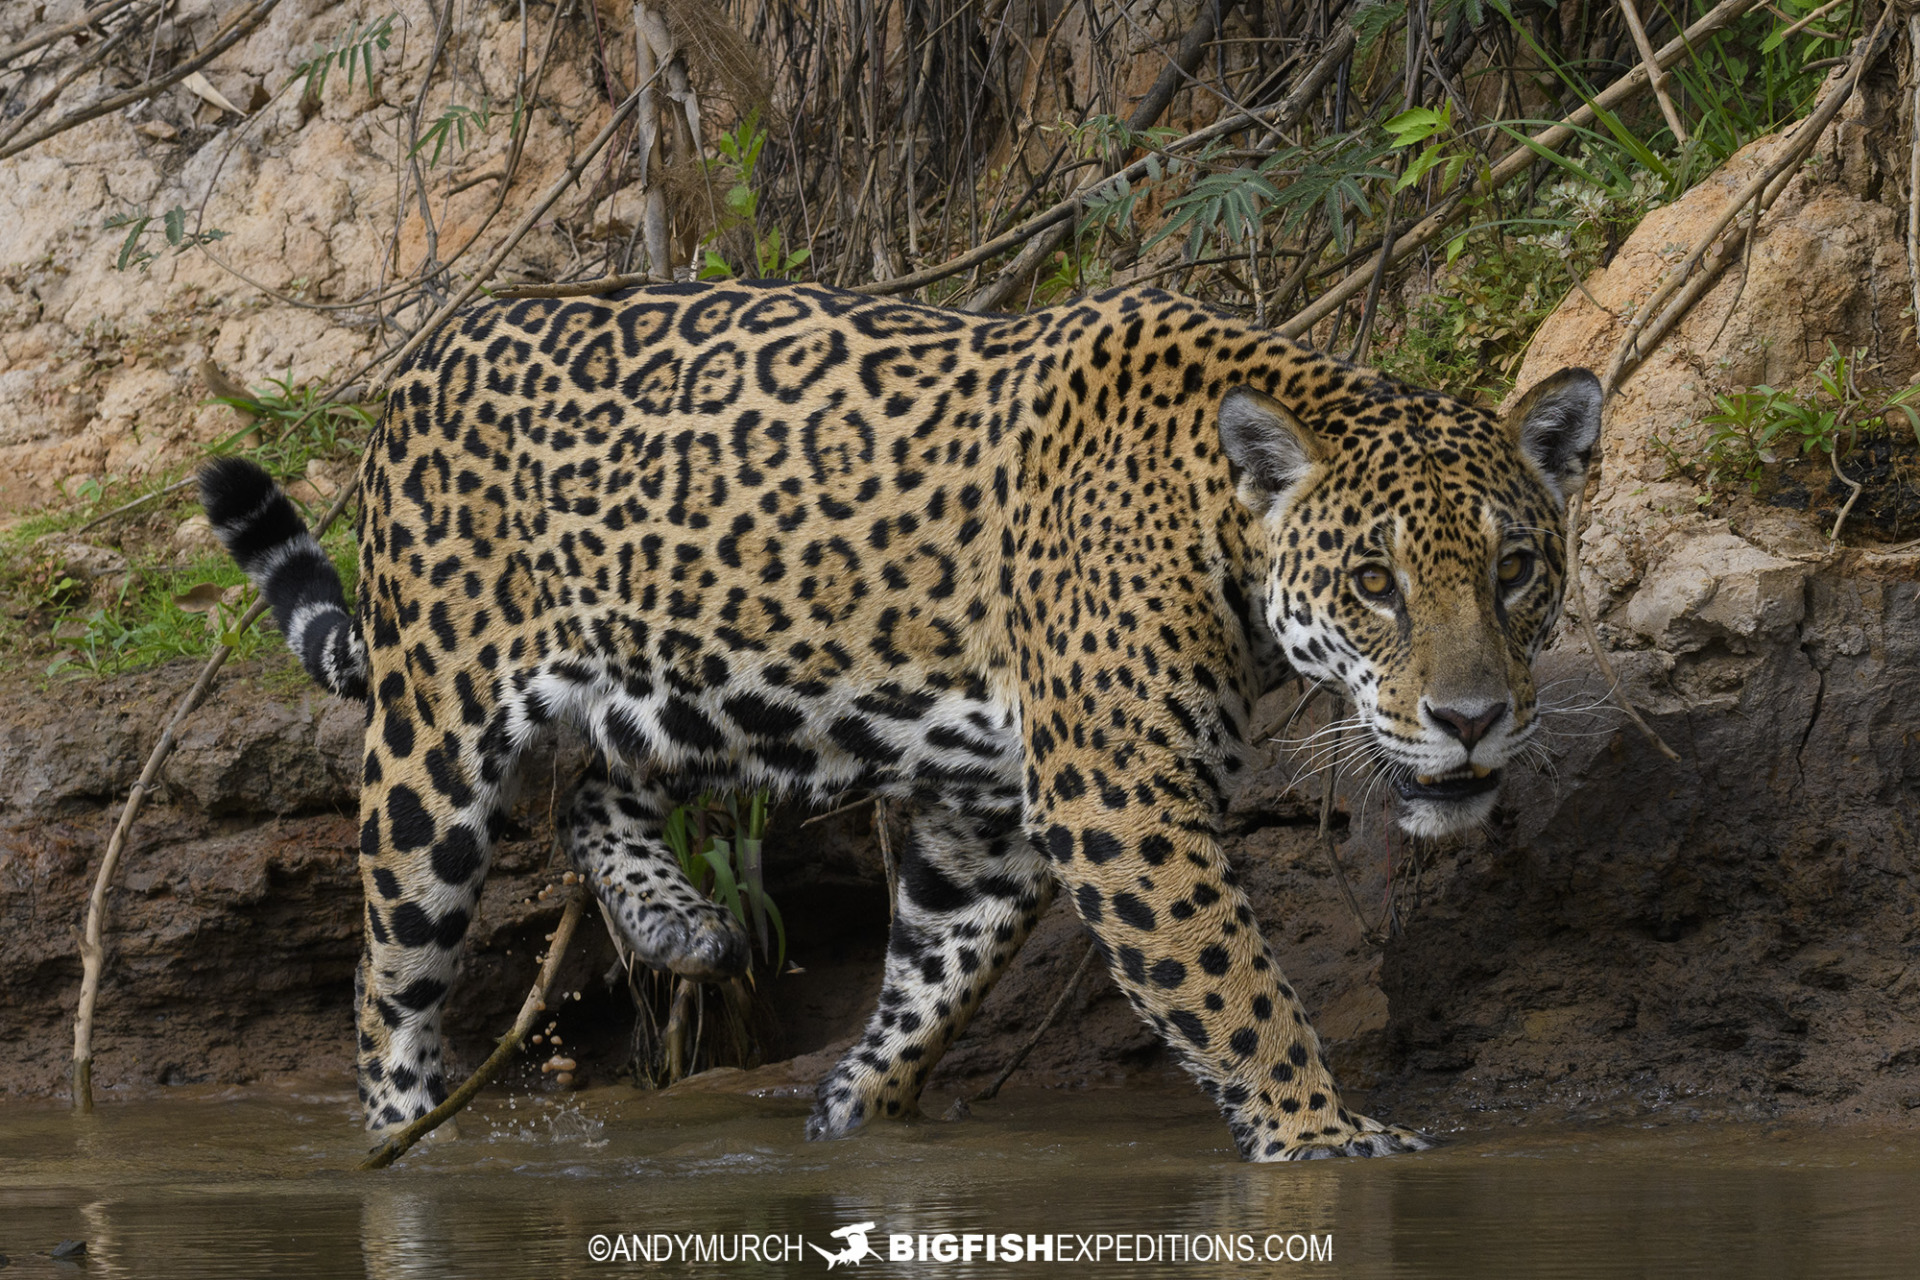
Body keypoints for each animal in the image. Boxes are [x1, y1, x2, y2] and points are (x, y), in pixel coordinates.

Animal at [199, 279, 1601, 1161]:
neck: (1219, 523)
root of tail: (421, 359)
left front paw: (850, 1123)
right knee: (390, 983)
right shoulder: (1123, 797)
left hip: (712, 689)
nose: (1473, 718)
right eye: (1375, 583)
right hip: (434, 738)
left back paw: (679, 922)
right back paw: (405, 1143)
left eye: (1516, 569)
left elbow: (936, 981)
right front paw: (1325, 1135)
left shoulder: (994, 815)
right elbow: (1233, 984)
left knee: (593, 787)